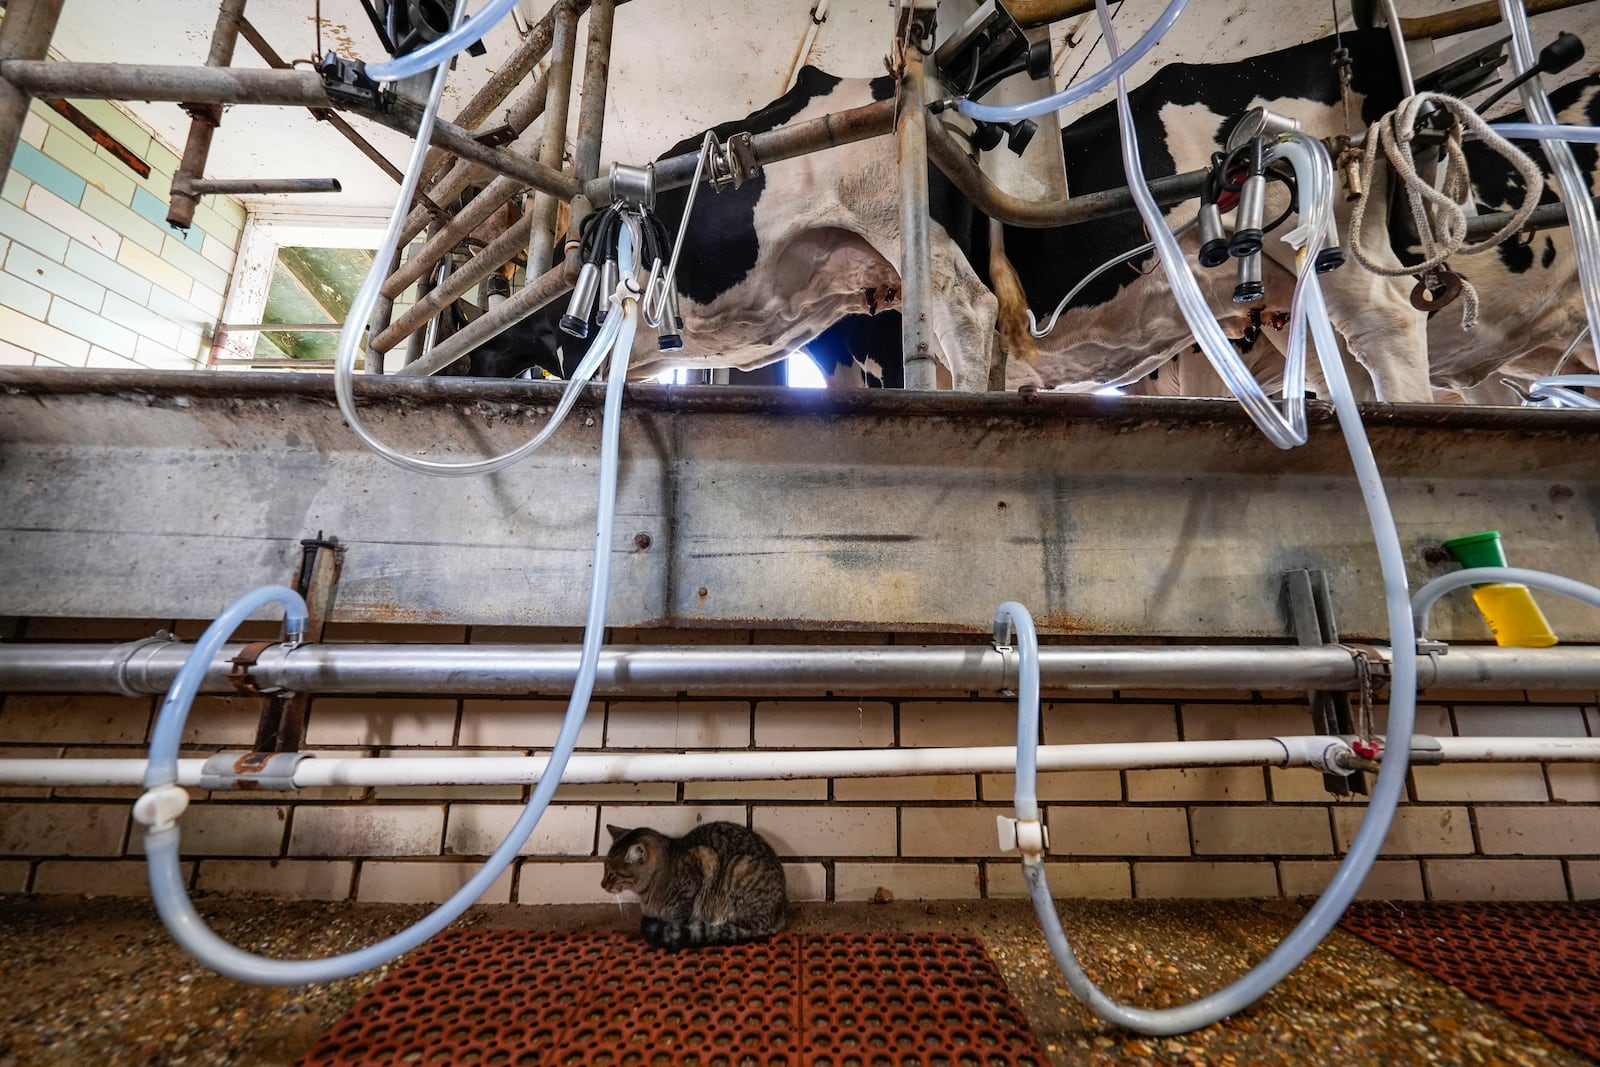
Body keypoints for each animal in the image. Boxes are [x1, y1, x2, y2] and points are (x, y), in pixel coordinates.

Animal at [601, 825, 787, 947]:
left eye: (612, 874)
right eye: (604, 868)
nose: (602, 884)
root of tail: (779, 916)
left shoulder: (699, 866)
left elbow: (678, 917)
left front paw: (672, 930)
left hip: (739, 868)